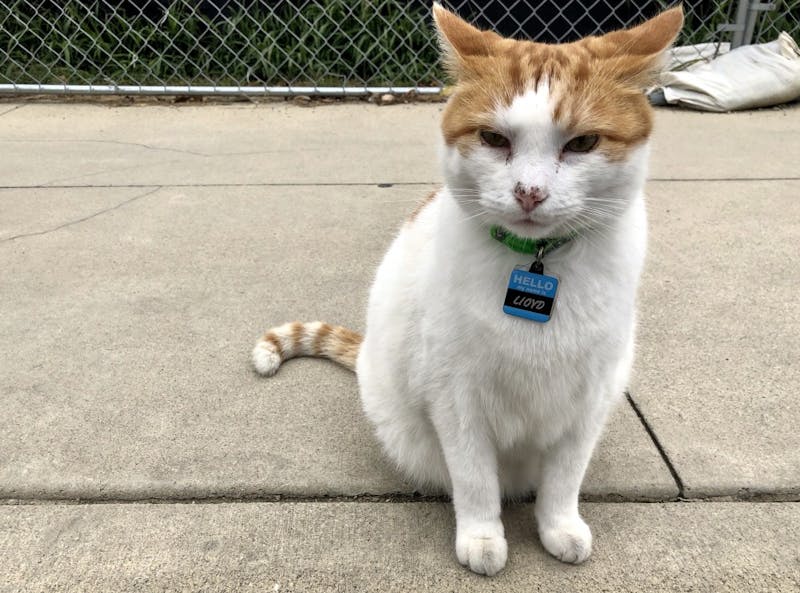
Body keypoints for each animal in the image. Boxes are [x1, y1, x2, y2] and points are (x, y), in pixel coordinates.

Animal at [253, 2, 684, 576]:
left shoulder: (589, 399)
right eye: (494, 139)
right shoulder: (456, 398)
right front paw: (482, 535)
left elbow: (565, 478)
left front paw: (559, 525)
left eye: (583, 143)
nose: (529, 192)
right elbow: (475, 478)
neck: (536, 264)